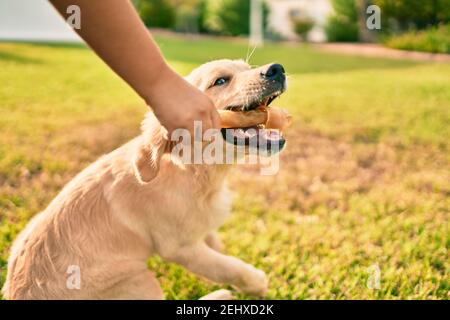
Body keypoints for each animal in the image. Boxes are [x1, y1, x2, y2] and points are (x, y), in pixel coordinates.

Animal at [1, 58, 286, 298]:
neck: (192, 171)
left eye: (246, 67)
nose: (277, 69)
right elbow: (227, 266)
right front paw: (256, 282)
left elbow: (216, 244)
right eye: (221, 81)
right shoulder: (181, 248)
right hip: (139, 280)